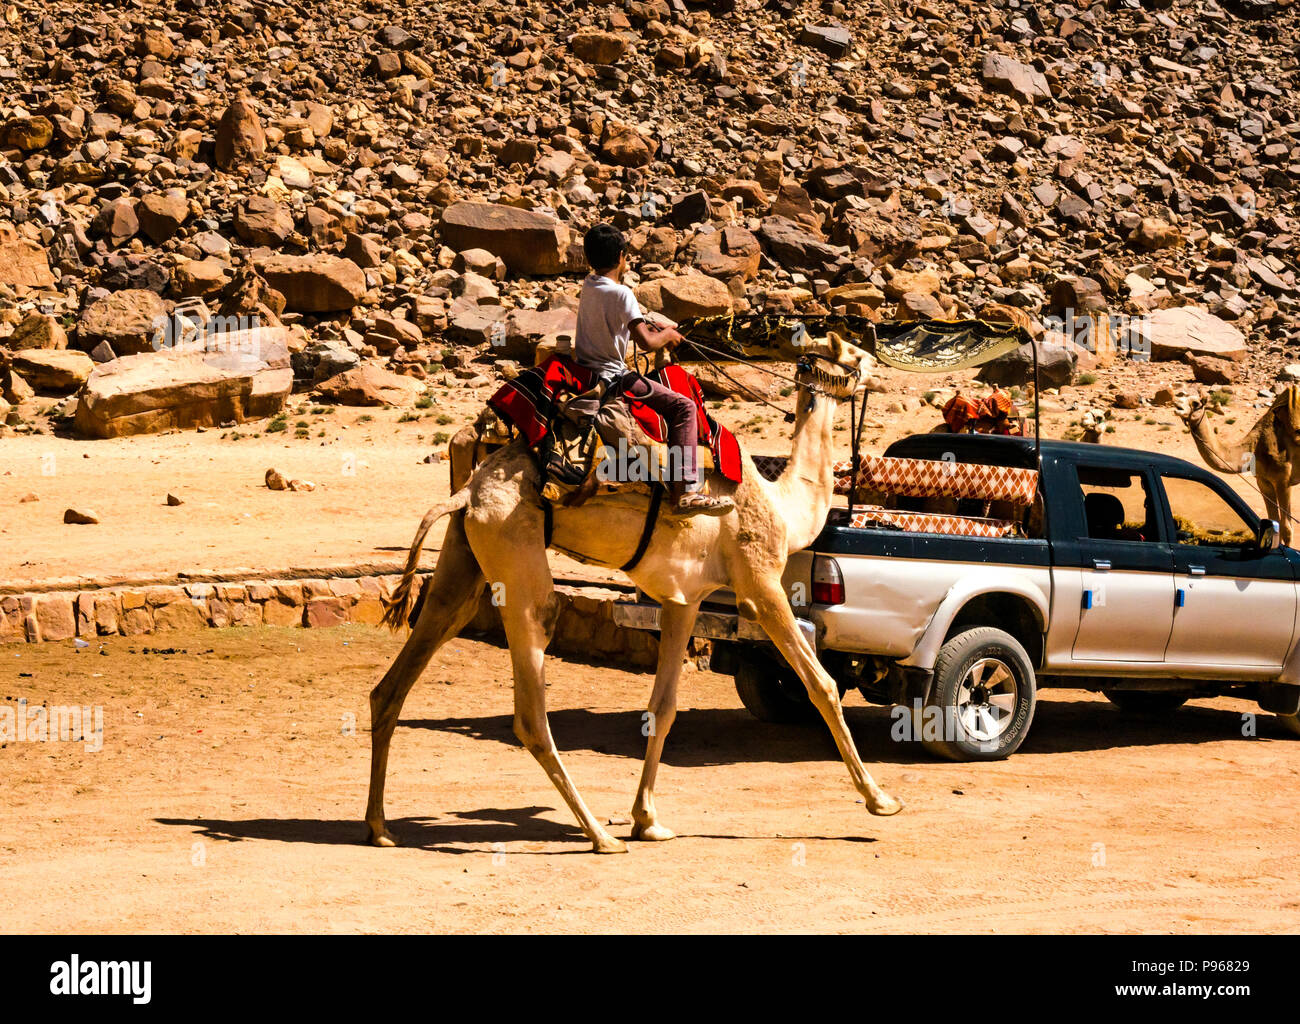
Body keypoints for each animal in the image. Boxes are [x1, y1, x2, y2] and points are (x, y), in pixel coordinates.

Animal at [361, 331, 899, 852]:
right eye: (854, 354)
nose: (879, 368)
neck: (783, 505)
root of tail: (466, 494)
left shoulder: (685, 602)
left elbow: (663, 708)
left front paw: (648, 821)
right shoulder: (759, 584)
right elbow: (822, 686)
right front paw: (881, 800)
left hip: (464, 561)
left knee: (402, 670)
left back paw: (380, 827)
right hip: (515, 552)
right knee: (531, 701)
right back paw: (598, 835)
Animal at [1180, 384, 1300, 543]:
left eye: (1195, 403)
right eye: (1180, 396)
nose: (1177, 406)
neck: (1255, 447)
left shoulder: (1283, 481)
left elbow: (1287, 529)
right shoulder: (1264, 482)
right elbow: (1275, 521)